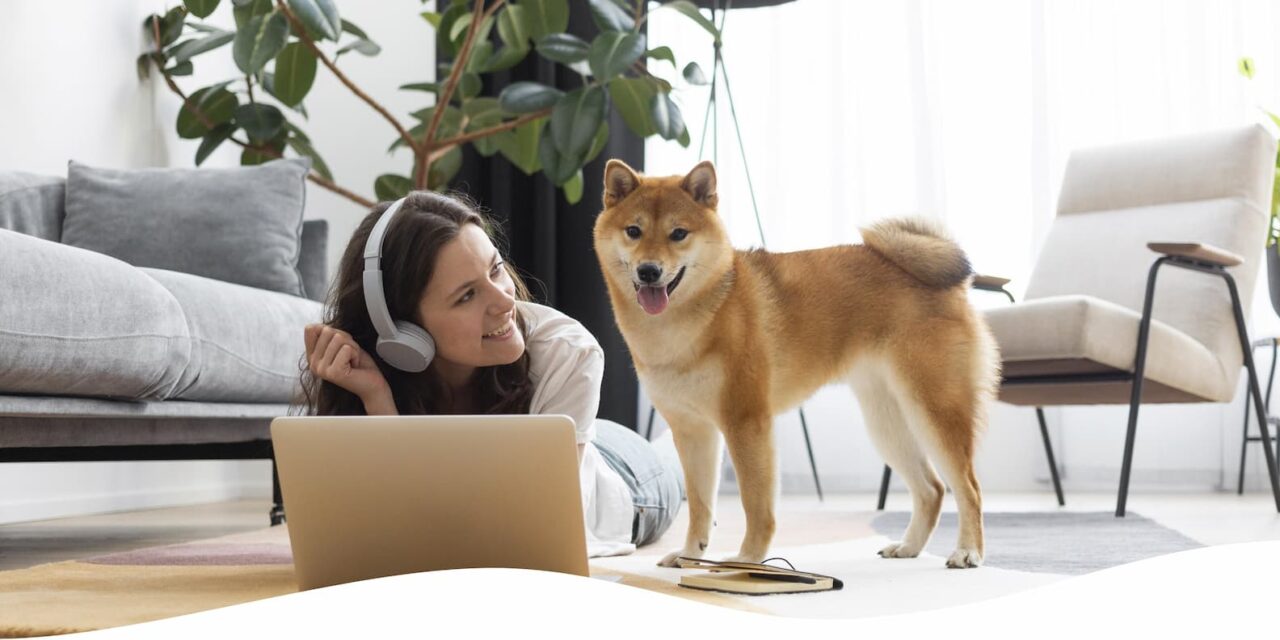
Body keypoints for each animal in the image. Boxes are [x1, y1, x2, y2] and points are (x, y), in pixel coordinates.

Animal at [588, 157, 998, 568]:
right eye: (634, 231)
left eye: (678, 234)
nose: (649, 271)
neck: (690, 321)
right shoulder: (693, 430)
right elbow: (701, 506)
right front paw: (691, 556)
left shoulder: (746, 422)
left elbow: (756, 505)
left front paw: (747, 560)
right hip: (886, 421)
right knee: (932, 488)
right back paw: (909, 546)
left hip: (934, 410)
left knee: (969, 488)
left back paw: (967, 551)